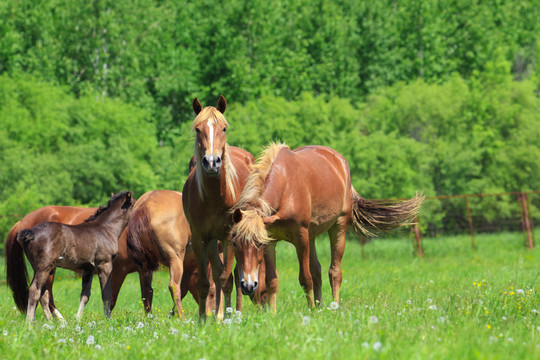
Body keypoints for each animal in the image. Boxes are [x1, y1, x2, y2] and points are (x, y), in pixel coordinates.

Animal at [8, 190, 134, 322]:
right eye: (134, 203)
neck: (105, 228)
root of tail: (30, 232)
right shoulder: (105, 264)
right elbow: (107, 294)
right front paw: (108, 320)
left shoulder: (88, 269)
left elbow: (85, 295)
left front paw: (78, 319)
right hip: (44, 268)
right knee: (34, 290)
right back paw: (30, 322)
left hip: (40, 268)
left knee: (43, 294)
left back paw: (50, 322)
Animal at [181, 95, 262, 320]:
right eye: (198, 129)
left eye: (223, 128)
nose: (211, 162)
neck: (214, 198)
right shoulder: (200, 239)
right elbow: (205, 282)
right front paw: (203, 319)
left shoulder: (229, 237)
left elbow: (227, 280)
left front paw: (227, 317)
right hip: (211, 242)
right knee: (216, 274)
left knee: (233, 274)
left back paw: (233, 312)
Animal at [230, 145, 424, 310]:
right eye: (234, 243)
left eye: (258, 244)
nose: (248, 285)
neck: (286, 188)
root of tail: (340, 160)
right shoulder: (271, 240)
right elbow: (272, 280)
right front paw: (273, 314)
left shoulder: (300, 237)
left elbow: (305, 278)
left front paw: (310, 310)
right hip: (312, 235)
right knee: (317, 271)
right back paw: (320, 306)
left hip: (338, 228)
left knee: (334, 272)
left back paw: (333, 307)